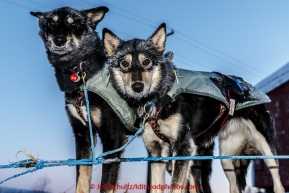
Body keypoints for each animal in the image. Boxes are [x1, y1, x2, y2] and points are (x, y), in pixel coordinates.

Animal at [30, 6, 137, 193]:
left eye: (76, 24)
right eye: (51, 23)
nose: (59, 40)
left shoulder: (114, 138)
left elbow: (106, 185)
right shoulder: (83, 136)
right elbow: (81, 179)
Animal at [102, 23, 282, 193]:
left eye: (146, 62)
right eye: (124, 63)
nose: (137, 87)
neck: (160, 98)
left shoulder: (184, 148)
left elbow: (175, 187)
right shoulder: (156, 153)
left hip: (266, 149)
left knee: (278, 184)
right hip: (226, 157)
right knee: (235, 187)